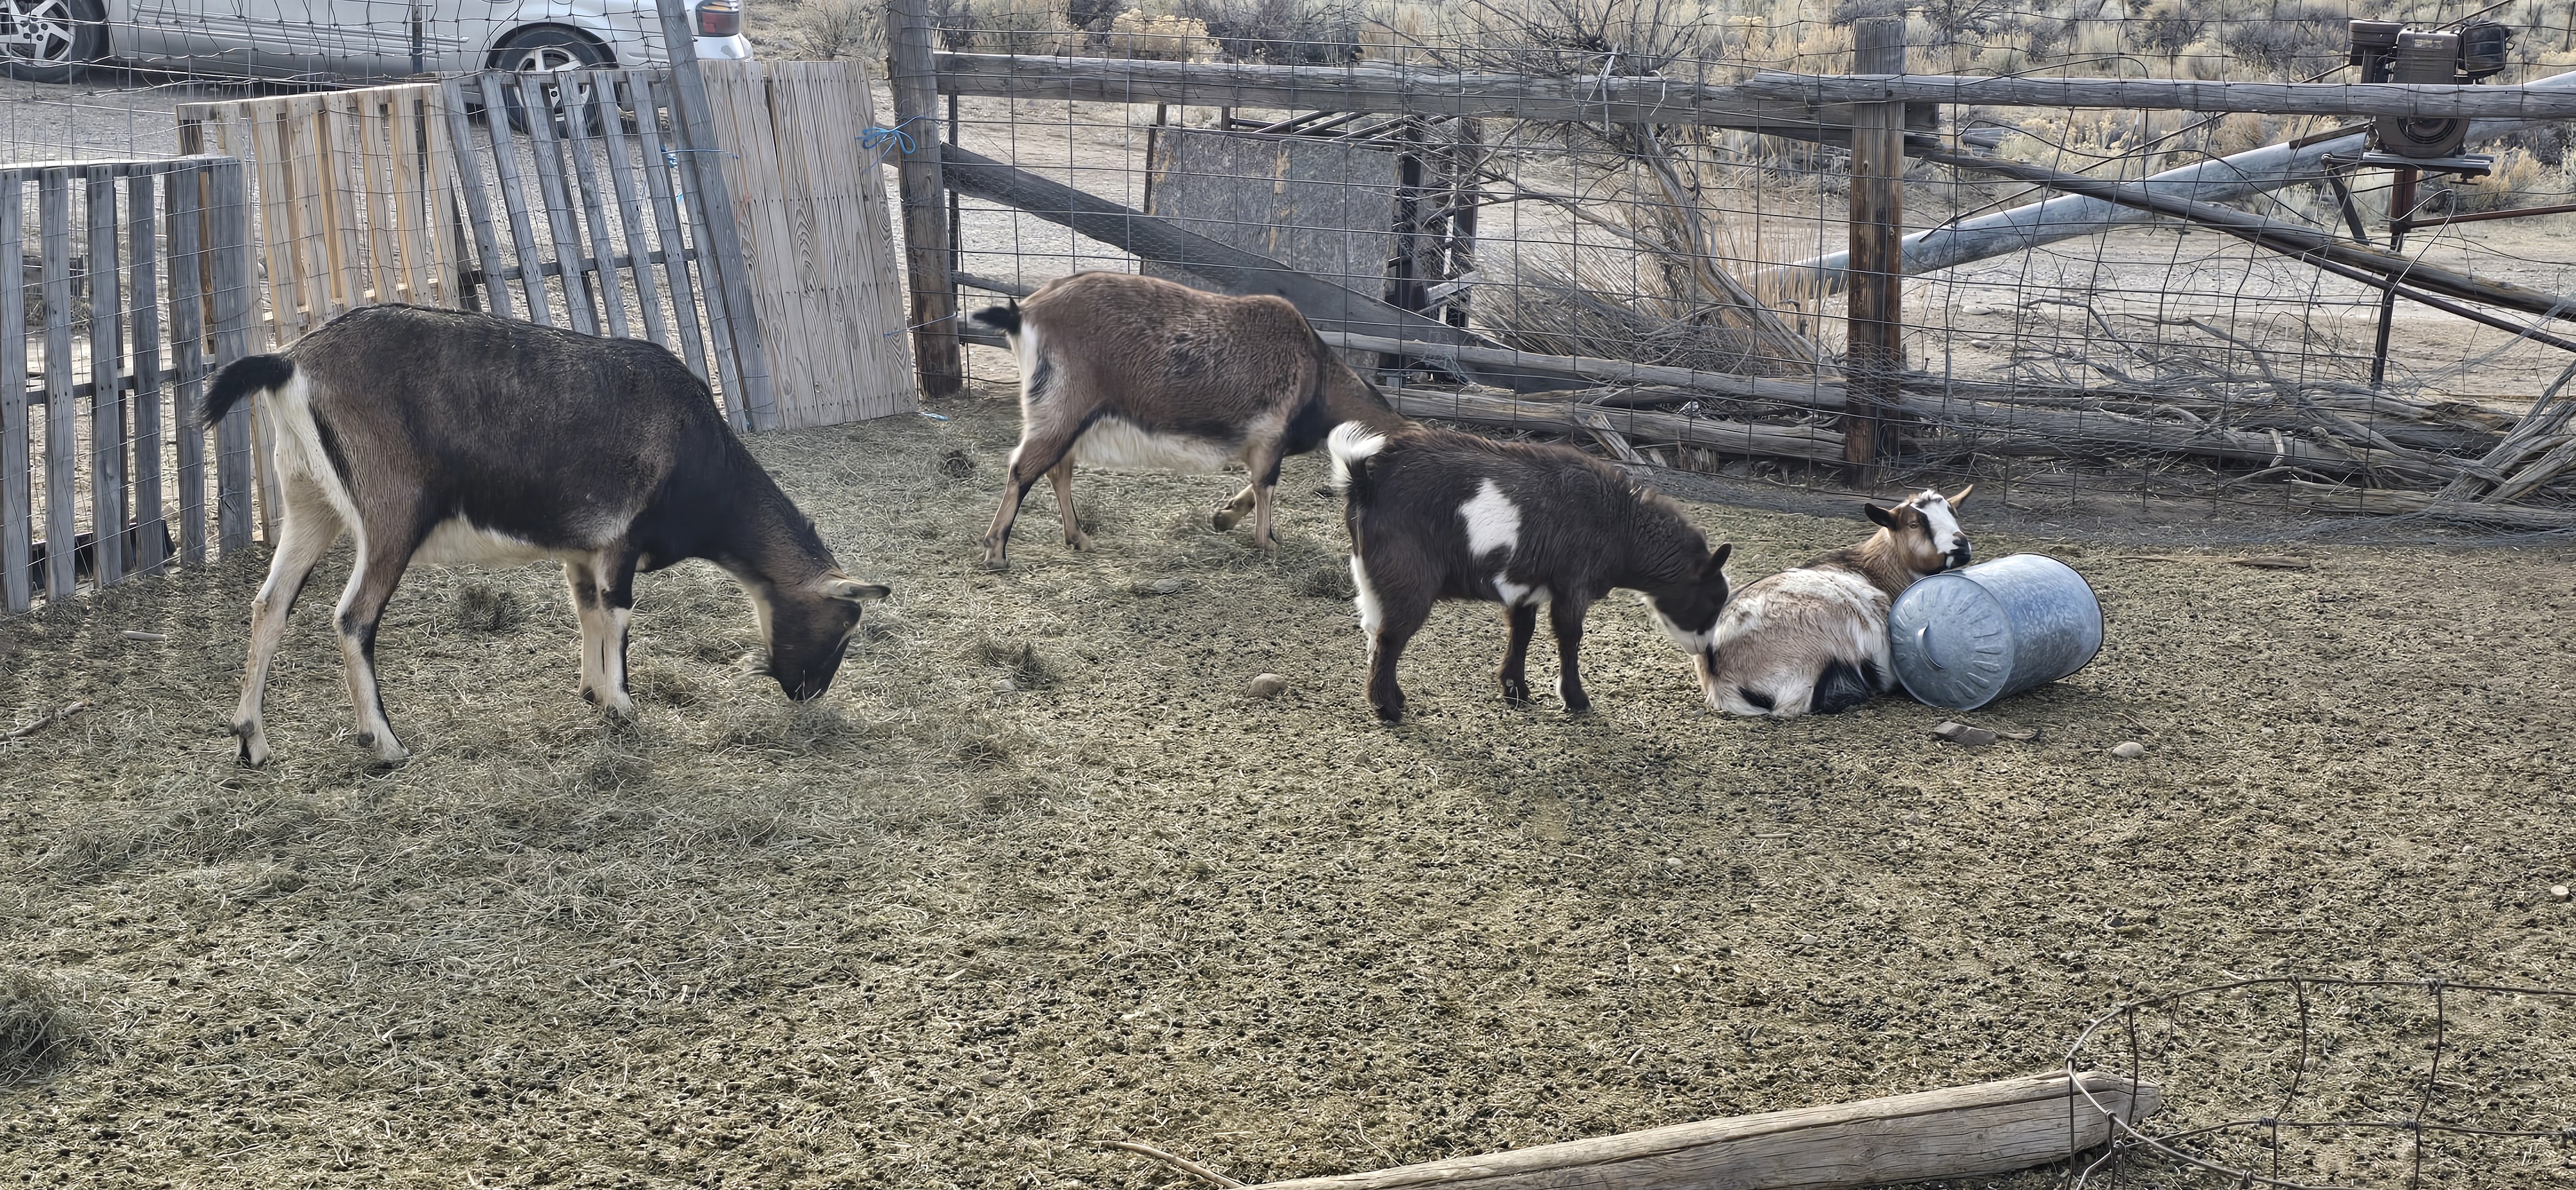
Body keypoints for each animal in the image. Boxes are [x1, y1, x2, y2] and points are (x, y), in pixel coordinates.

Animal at [200, 305, 889, 767]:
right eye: (844, 625)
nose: (807, 692)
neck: (697, 451)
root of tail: (290, 362)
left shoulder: (583, 550)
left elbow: (587, 611)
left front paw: (593, 692)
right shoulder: (622, 541)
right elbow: (618, 614)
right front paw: (623, 707)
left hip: (308, 501)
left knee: (270, 606)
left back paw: (252, 741)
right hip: (391, 514)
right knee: (352, 617)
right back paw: (385, 743)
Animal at [968, 271, 1408, 568]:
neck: (1316, 375)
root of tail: (1025, 313)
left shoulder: (1266, 444)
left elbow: (1255, 486)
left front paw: (1225, 517)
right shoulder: (1270, 437)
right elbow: (1266, 485)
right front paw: (1268, 542)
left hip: (1066, 419)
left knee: (1057, 471)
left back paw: (1078, 538)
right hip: (1062, 409)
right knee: (1024, 469)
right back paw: (997, 551)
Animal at [1327, 422, 1734, 723]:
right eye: (1710, 601)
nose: (1705, 652)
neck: (1619, 523)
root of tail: (1365, 482)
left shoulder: (1525, 586)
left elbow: (1522, 633)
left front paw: (1516, 692)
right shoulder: (1573, 583)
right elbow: (1570, 636)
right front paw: (1575, 699)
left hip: (1373, 580)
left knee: (1376, 633)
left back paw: (1394, 698)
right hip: (1408, 578)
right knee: (1390, 638)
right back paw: (1387, 709)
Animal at [1700, 487, 1973, 720]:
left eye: (1954, 515)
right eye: (1914, 524)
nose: (1961, 546)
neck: (1876, 571)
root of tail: (1716, 672)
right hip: (1809, 661)